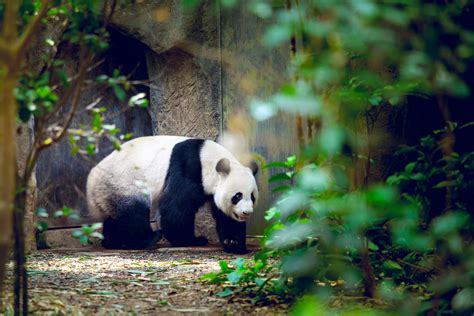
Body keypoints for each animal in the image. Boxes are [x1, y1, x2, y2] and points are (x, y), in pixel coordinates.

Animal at [86, 135, 260, 253]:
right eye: (237, 196)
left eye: (252, 197)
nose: (246, 213)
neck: (208, 159)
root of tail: (91, 183)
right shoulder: (189, 169)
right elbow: (176, 208)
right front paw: (191, 240)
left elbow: (225, 216)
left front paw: (234, 244)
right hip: (123, 182)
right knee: (134, 212)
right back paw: (147, 239)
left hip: (109, 192)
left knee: (114, 217)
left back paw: (113, 242)